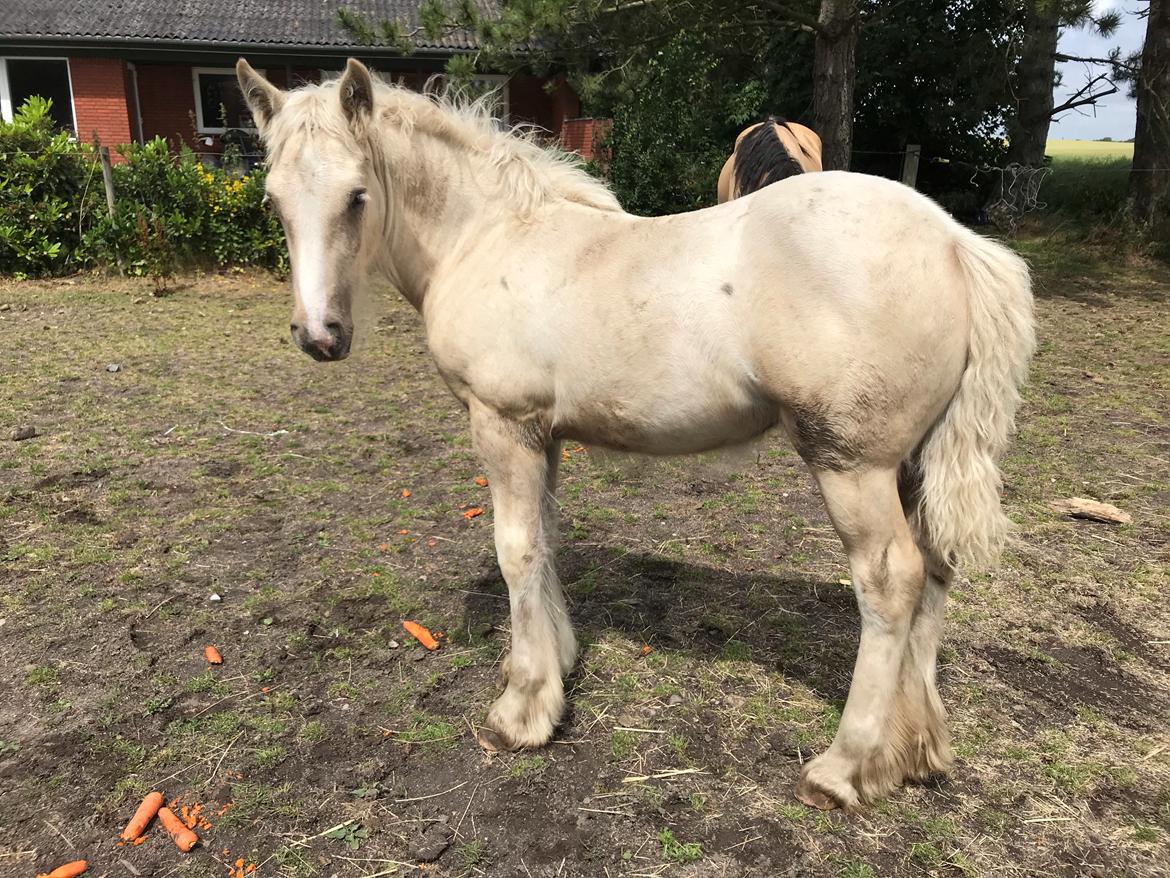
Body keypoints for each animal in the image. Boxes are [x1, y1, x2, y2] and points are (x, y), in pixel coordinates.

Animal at [237, 56, 1034, 810]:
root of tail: (955, 243)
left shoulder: (503, 425)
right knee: (936, 567)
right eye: (273, 200)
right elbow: (546, 540)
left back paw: (843, 767)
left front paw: (521, 711)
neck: (487, 236)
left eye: (357, 196)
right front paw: (555, 663)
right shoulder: (545, 434)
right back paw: (915, 749)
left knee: (891, 579)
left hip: (853, 464)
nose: (318, 336)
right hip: (915, 463)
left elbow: (515, 550)